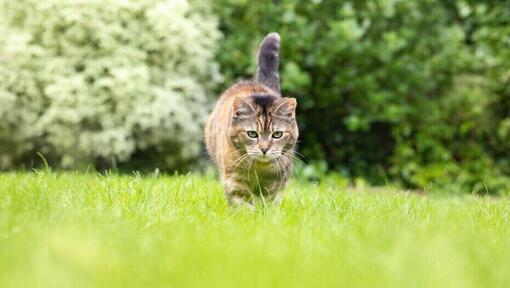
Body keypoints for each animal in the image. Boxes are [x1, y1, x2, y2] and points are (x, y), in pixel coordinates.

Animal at [204, 32, 298, 206]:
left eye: (277, 134)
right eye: (252, 134)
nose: (264, 149)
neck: (259, 168)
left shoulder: (277, 181)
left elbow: (269, 201)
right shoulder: (234, 179)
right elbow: (242, 203)